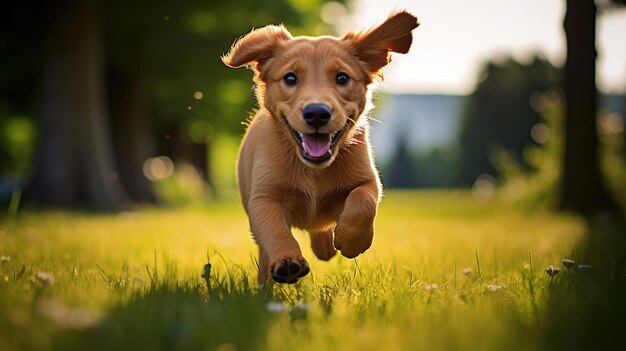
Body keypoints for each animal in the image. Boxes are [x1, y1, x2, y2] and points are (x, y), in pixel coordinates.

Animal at [222, 11, 416, 286]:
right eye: (290, 78)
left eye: (342, 78)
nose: (316, 113)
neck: (313, 169)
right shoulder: (263, 197)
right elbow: (275, 230)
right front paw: (287, 261)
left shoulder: (368, 179)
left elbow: (363, 199)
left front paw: (351, 240)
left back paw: (326, 245)